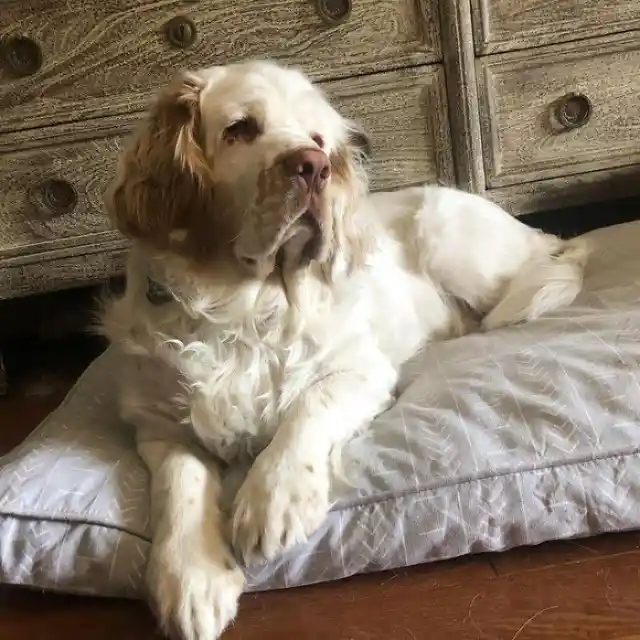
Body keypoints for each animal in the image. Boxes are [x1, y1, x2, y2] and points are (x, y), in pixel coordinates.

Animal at [101, 60, 592, 640]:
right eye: (240, 128)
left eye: (318, 140)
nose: (313, 167)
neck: (244, 310)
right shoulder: (157, 424)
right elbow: (179, 485)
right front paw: (192, 578)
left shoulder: (360, 371)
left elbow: (307, 412)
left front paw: (274, 501)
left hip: (451, 237)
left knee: (548, 258)